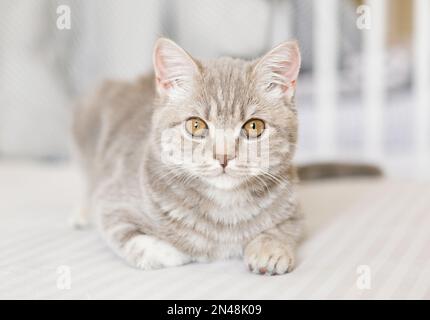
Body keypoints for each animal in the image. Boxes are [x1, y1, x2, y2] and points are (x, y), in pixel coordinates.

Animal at [73, 37, 306, 272]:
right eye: (196, 125)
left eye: (254, 126)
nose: (223, 156)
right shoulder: (112, 201)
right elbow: (126, 234)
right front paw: (172, 251)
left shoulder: (293, 205)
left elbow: (285, 227)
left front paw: (270, 250)